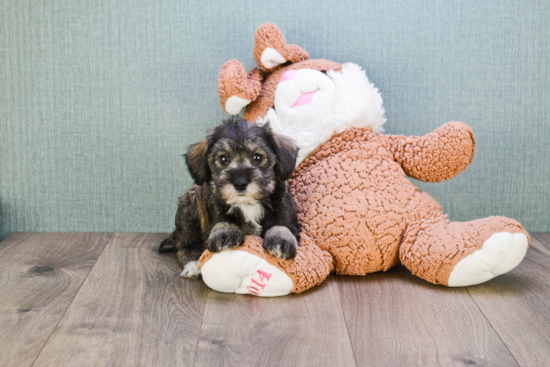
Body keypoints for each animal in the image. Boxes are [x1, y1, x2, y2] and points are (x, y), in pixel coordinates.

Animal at [157, 118, 304, 278]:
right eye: (223, 159)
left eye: (257, 157)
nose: (240, 183)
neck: (248, 204)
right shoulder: (213, 215)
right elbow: (222, 221)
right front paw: (225, 233)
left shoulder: (286, 214)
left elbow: (282, 225)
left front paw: (281, 239)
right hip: (189, 205)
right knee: (184, 247)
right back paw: (192, 265)